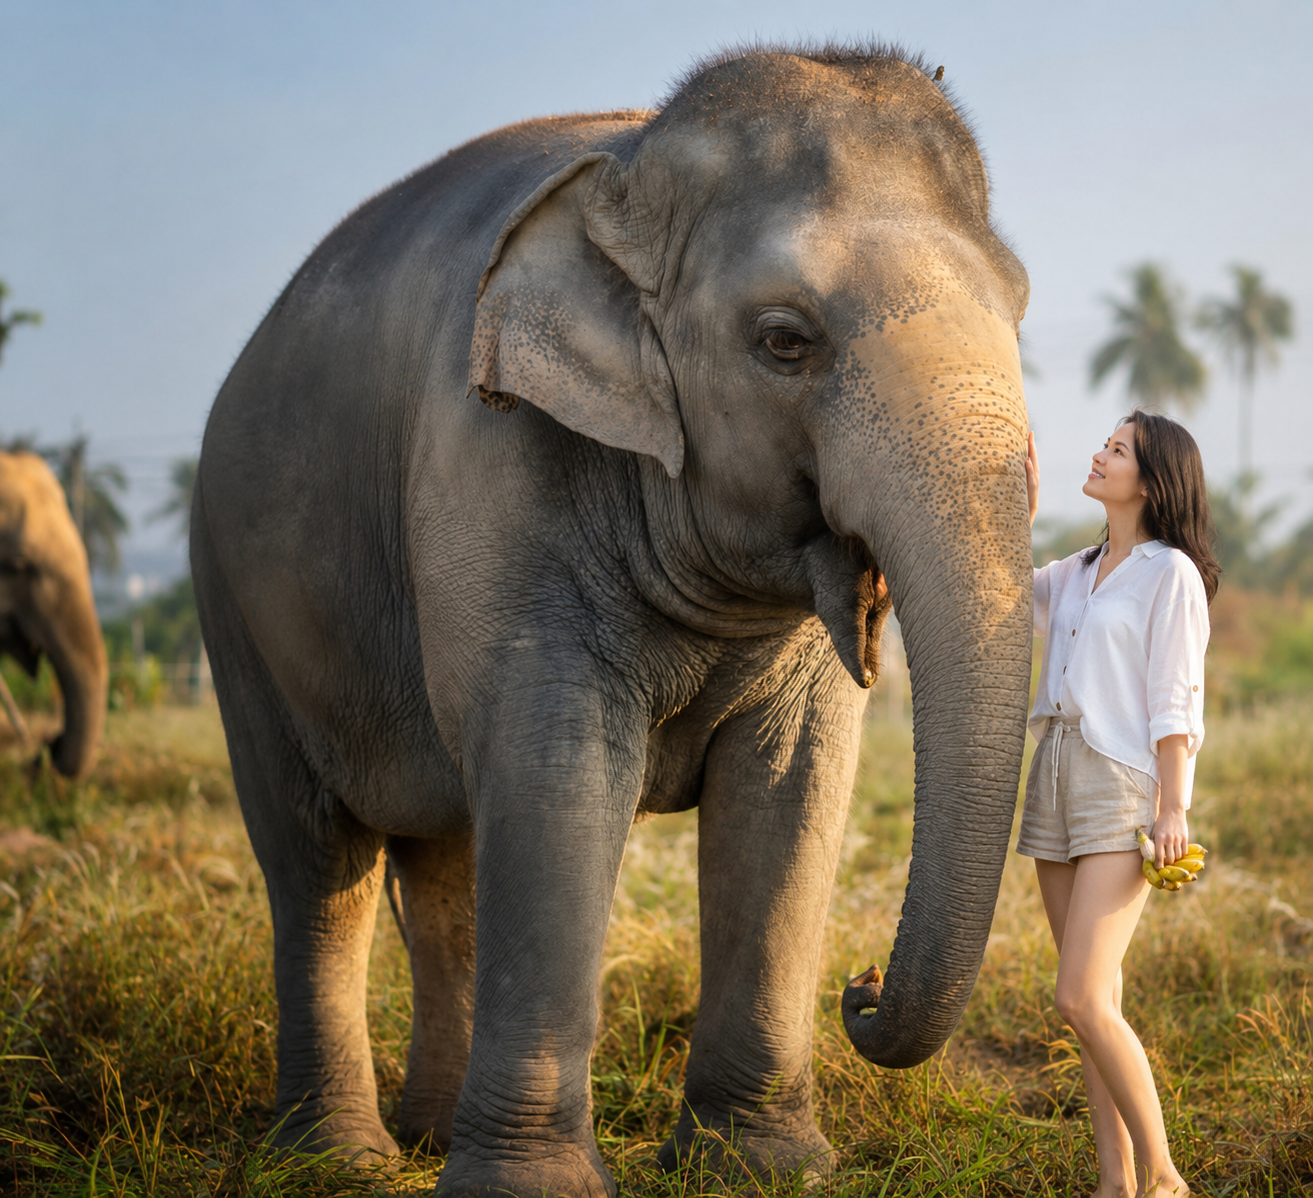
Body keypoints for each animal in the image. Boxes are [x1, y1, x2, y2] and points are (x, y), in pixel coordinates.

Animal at [192, 44, 1032, 1197]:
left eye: (1021, 310)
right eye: (783, 341)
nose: (859, 987)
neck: (632, 165)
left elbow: (790, 786)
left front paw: (762, 1167)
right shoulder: (492, 464)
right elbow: (559, 771)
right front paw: (533, 1188)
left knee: (447, 859)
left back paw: (425, 1135)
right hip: (235, 604)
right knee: (318, 860)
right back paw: (341, 1159)